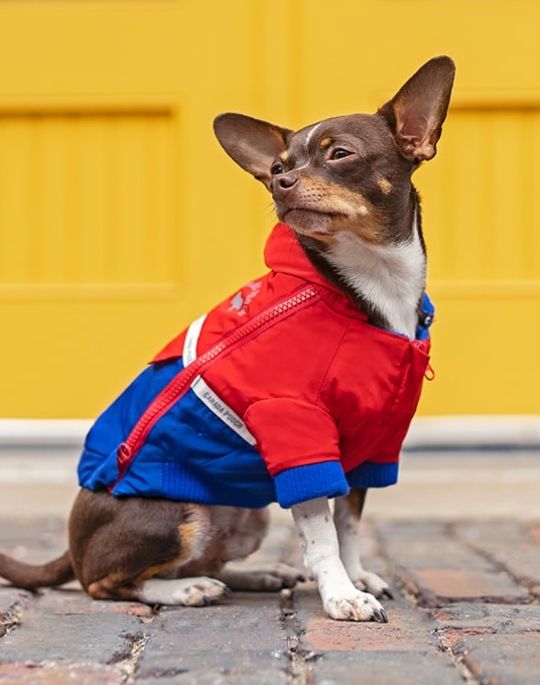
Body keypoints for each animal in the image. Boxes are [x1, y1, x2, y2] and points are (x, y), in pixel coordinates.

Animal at [0, 56, 454, 624]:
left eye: (341, 154)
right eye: (278, 167)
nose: (282, 182)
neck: (367, 286)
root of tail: (72, 546)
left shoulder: (370, 444)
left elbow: (349, 521)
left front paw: (358, 576)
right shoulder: (296, 431)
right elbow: (323, 534)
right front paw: (342, 595)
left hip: (246, 515)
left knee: (206, 561)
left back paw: (258, 575)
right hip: (175, 517)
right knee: (107, 582)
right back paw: (187, 589)